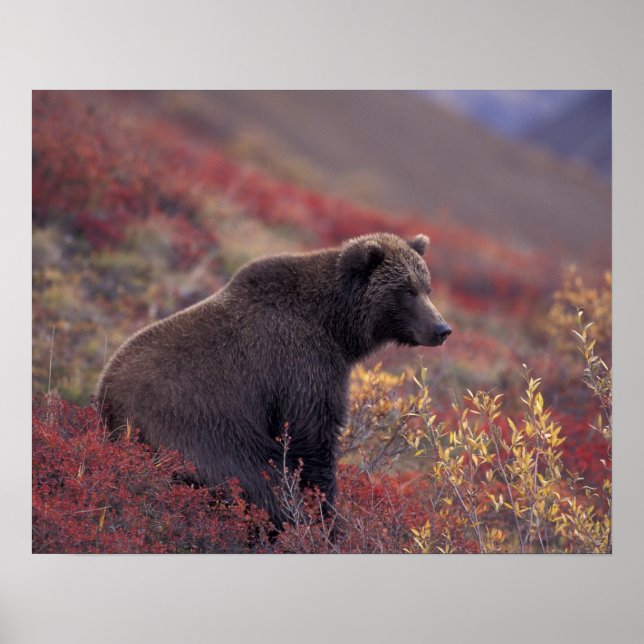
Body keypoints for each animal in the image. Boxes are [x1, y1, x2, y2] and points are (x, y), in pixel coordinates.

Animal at [96, 232, 451, 529]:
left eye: (427, 287)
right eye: (406, 290)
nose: (442, 328)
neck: (335, 328)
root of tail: (107, 402)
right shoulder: (300, 364)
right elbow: (311, 437)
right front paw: (326, 517)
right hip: (202, 431)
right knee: (259, 482)